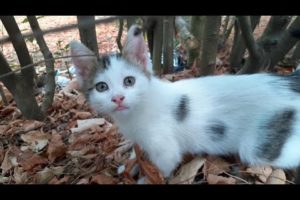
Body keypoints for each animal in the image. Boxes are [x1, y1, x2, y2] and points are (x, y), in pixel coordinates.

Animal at [71, 24, 300, 181]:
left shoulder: (165, 148)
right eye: (101, 87)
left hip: (259, 144)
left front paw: (146, 178)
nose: (118, 98)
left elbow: (163, 166)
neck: (138, 111)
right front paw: (131, 163)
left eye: (129, 81)